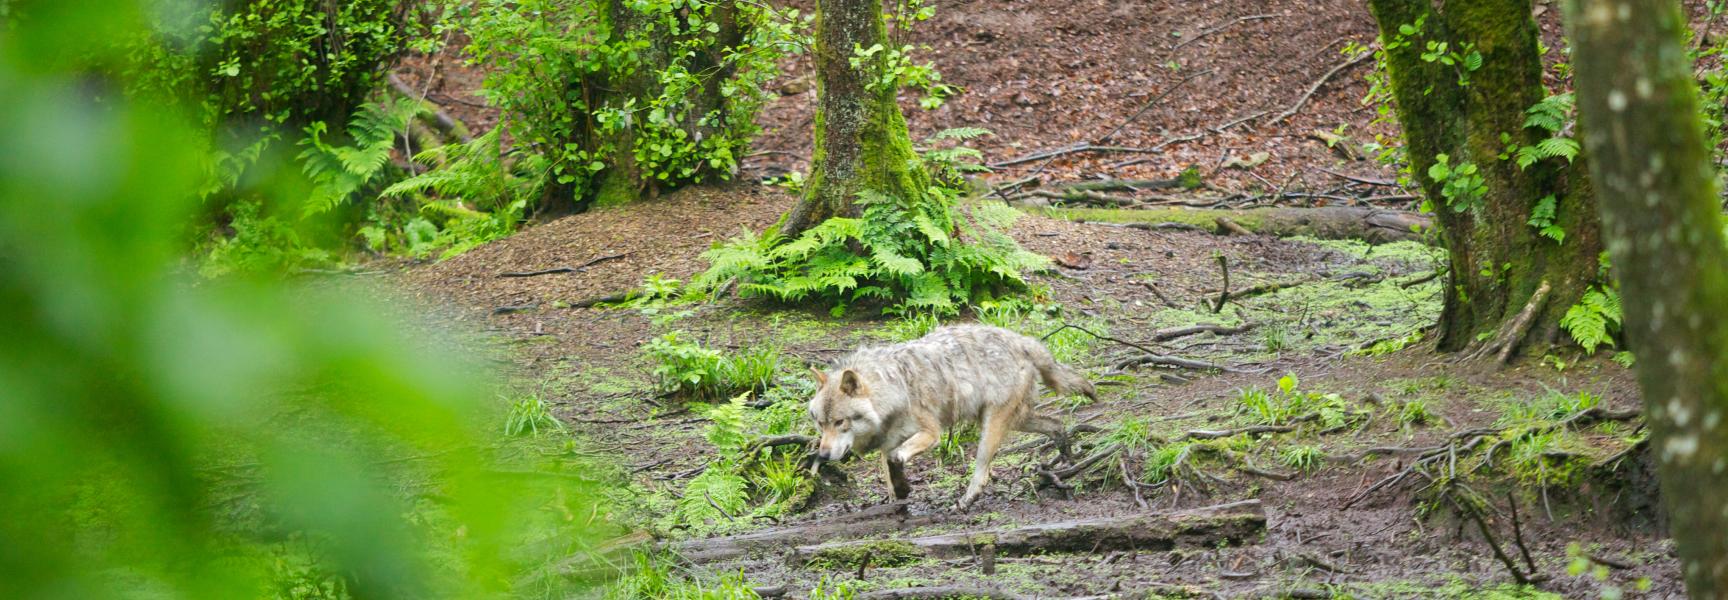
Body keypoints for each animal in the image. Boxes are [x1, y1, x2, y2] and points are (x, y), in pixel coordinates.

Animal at [807, 324, 1096, 510]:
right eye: (821, 423)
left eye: (840, 422)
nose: (822, 455)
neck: (892, 387)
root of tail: (1022, 340)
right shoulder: (888, 443)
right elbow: (888, 468)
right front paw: (898, 494)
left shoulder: (931, 433)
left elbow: (897, 457)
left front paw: (902, 488)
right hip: (1014, 419)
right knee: (1056, 424)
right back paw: (1067, 458)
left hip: (990, 429)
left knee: (983, 472)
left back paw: (966, 501)